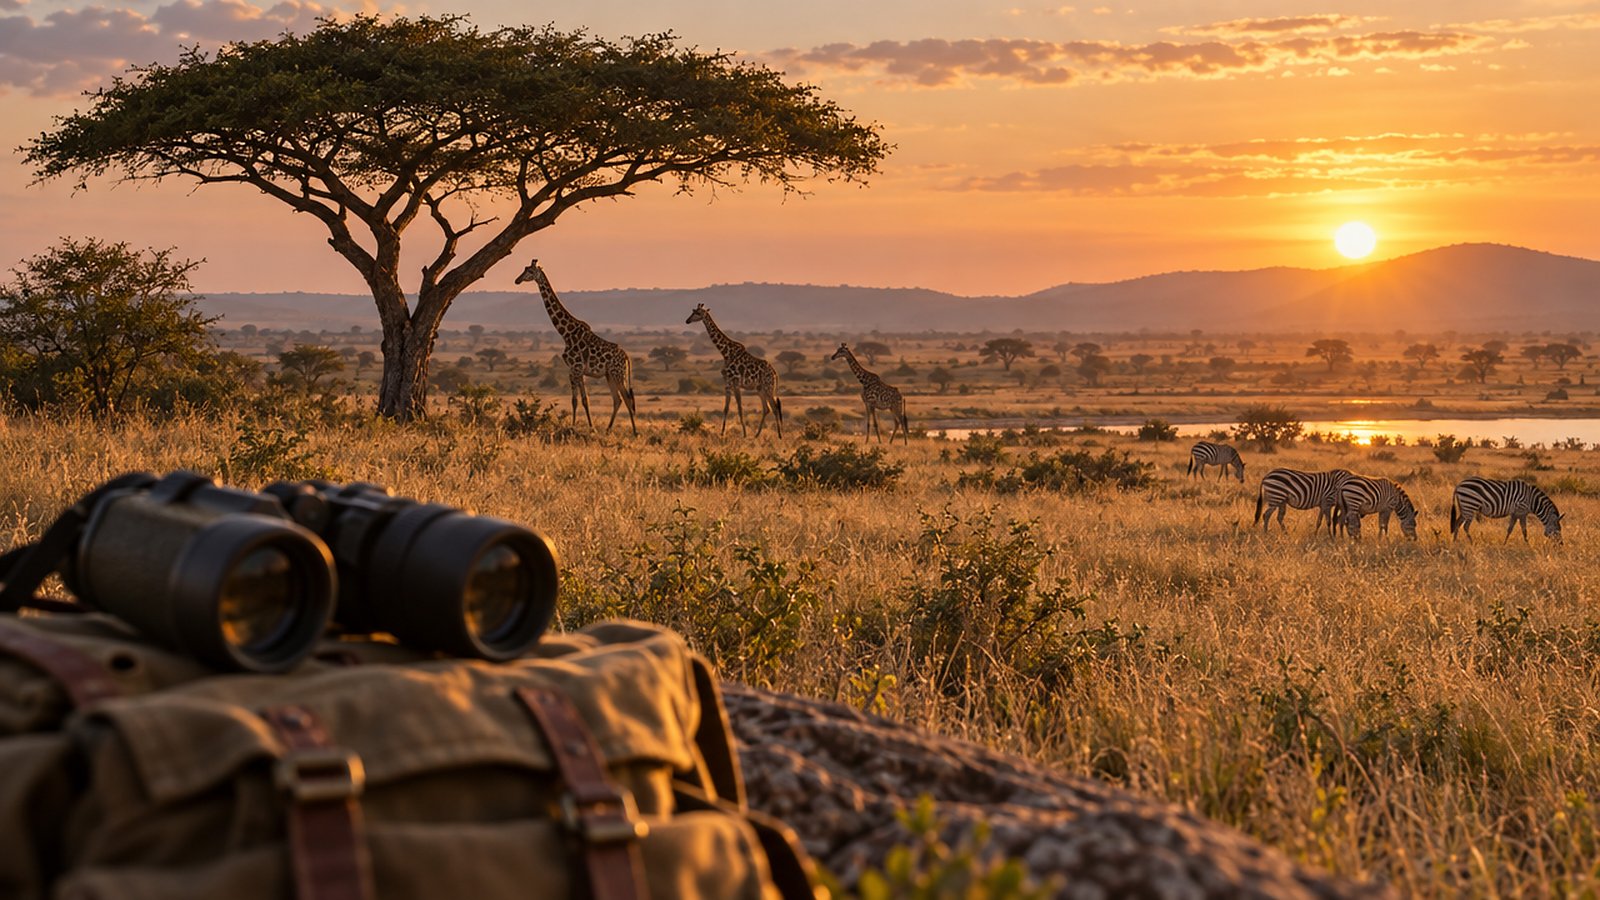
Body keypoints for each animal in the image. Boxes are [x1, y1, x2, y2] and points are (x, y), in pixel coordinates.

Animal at [515, 260, 637, 435]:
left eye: (530, 271)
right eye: (524, 269)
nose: (517, 280)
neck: (565, 333)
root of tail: (626, 357)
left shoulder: (576, 368)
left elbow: (579, 400)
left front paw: (580, 428)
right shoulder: (574, 370)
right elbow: (580, 400)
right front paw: (585, 427)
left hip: (618, 374)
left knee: (627, 398)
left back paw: (634, 432)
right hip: (610, 375)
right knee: (618, 399)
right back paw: (608, 429)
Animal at [685, 303, 783, 438]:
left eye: (697, 313)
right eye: (693, 311)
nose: (687, 321)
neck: (725, 352)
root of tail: (775, 373)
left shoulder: (734, 382)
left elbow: (739, 408)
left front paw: (744, 434)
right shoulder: (727, 382)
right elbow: (726, 408)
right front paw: (722, 433)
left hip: (768, 388)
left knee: (774, 408)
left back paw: (779, 436)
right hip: (761, 389)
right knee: (767, 409)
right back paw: (757, 435)